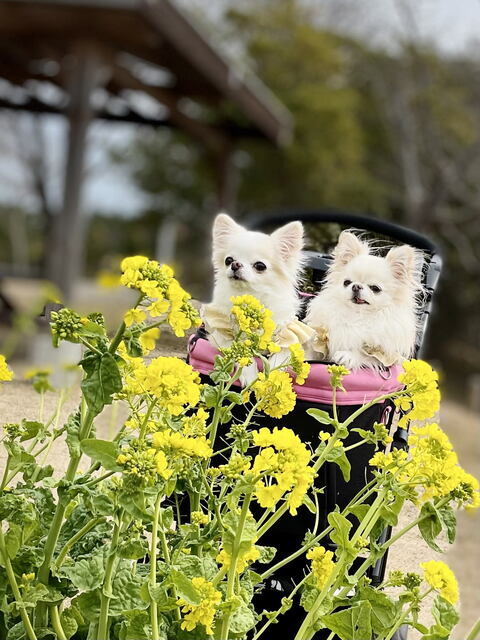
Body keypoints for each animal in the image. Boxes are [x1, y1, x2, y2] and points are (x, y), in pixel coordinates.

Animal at [203, 212, 304, 382]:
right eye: (228, 260)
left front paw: (272, 376)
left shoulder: (289, 333)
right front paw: (250, 376)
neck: (252, 296)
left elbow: (281, 354)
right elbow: (240, 350)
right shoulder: (222, 334)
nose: (235, 264)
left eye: (260, 266)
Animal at [306, 230, 422, 370]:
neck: (358, 315)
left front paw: (348, 355)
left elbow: (366, 354)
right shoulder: (322, 340)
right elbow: (313, 350)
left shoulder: (386, 355)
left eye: (375, 288)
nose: (356, 286)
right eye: (347, 282)